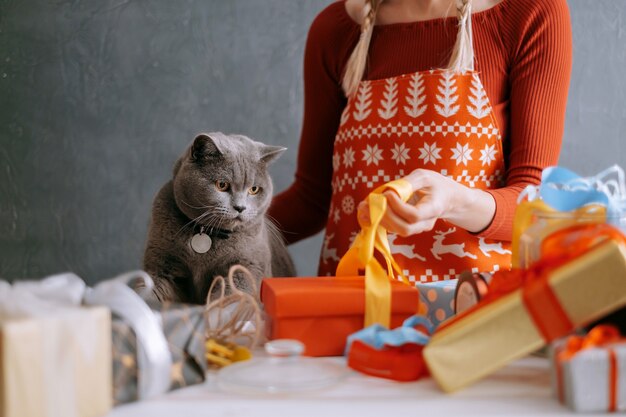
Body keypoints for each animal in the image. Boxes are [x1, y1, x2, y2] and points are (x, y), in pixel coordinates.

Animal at [144, 132, 294, 302]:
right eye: (222, 185)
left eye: (254, 189)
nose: (240, 207)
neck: (207, 233)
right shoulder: (160, 265)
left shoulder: (247, 267)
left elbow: (230, 297)